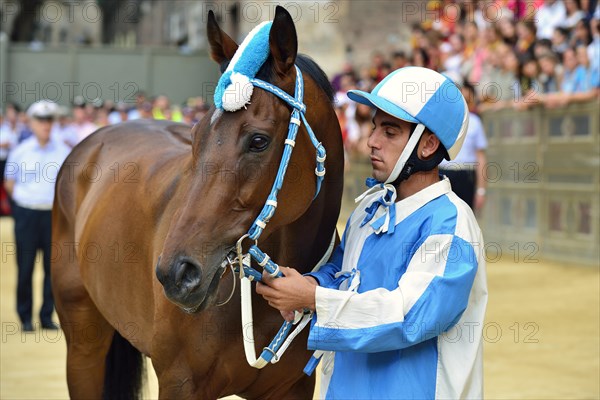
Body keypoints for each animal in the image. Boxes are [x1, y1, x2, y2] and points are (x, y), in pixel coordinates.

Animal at [51, 7, 342, 400]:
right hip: (84, 346)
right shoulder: (179, 383)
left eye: (258, 140)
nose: (176, 273)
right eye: (196, 134)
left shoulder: (293, 388)